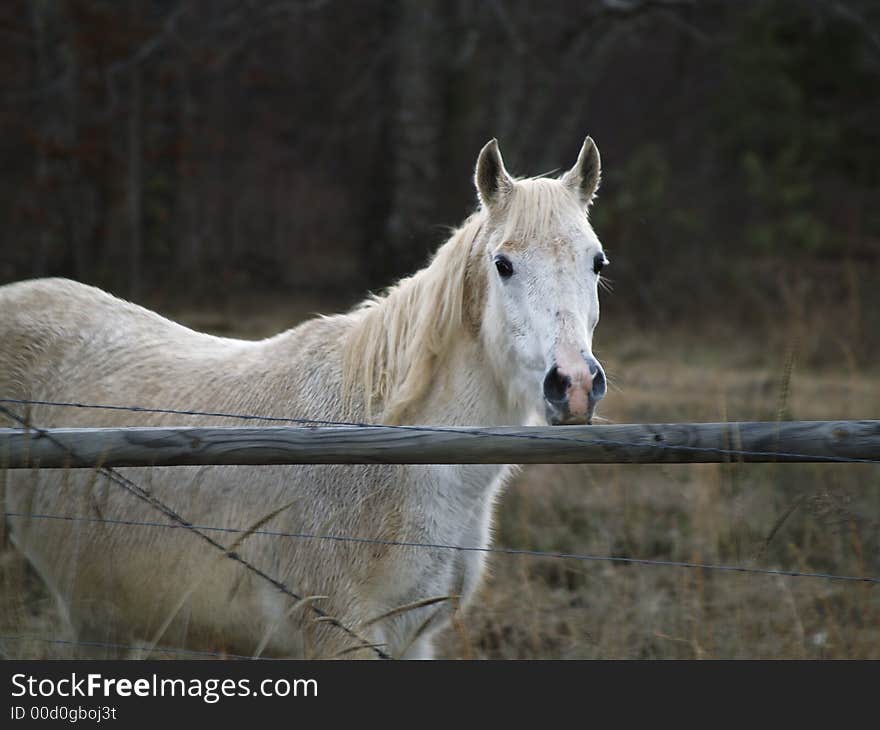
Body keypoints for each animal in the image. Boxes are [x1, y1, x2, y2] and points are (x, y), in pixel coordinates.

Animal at [0, 134, 604, 656]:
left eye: (596, 262)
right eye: (503, 264)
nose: (573, 384)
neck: (394, 451)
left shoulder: (412, 638)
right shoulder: (342, 635)